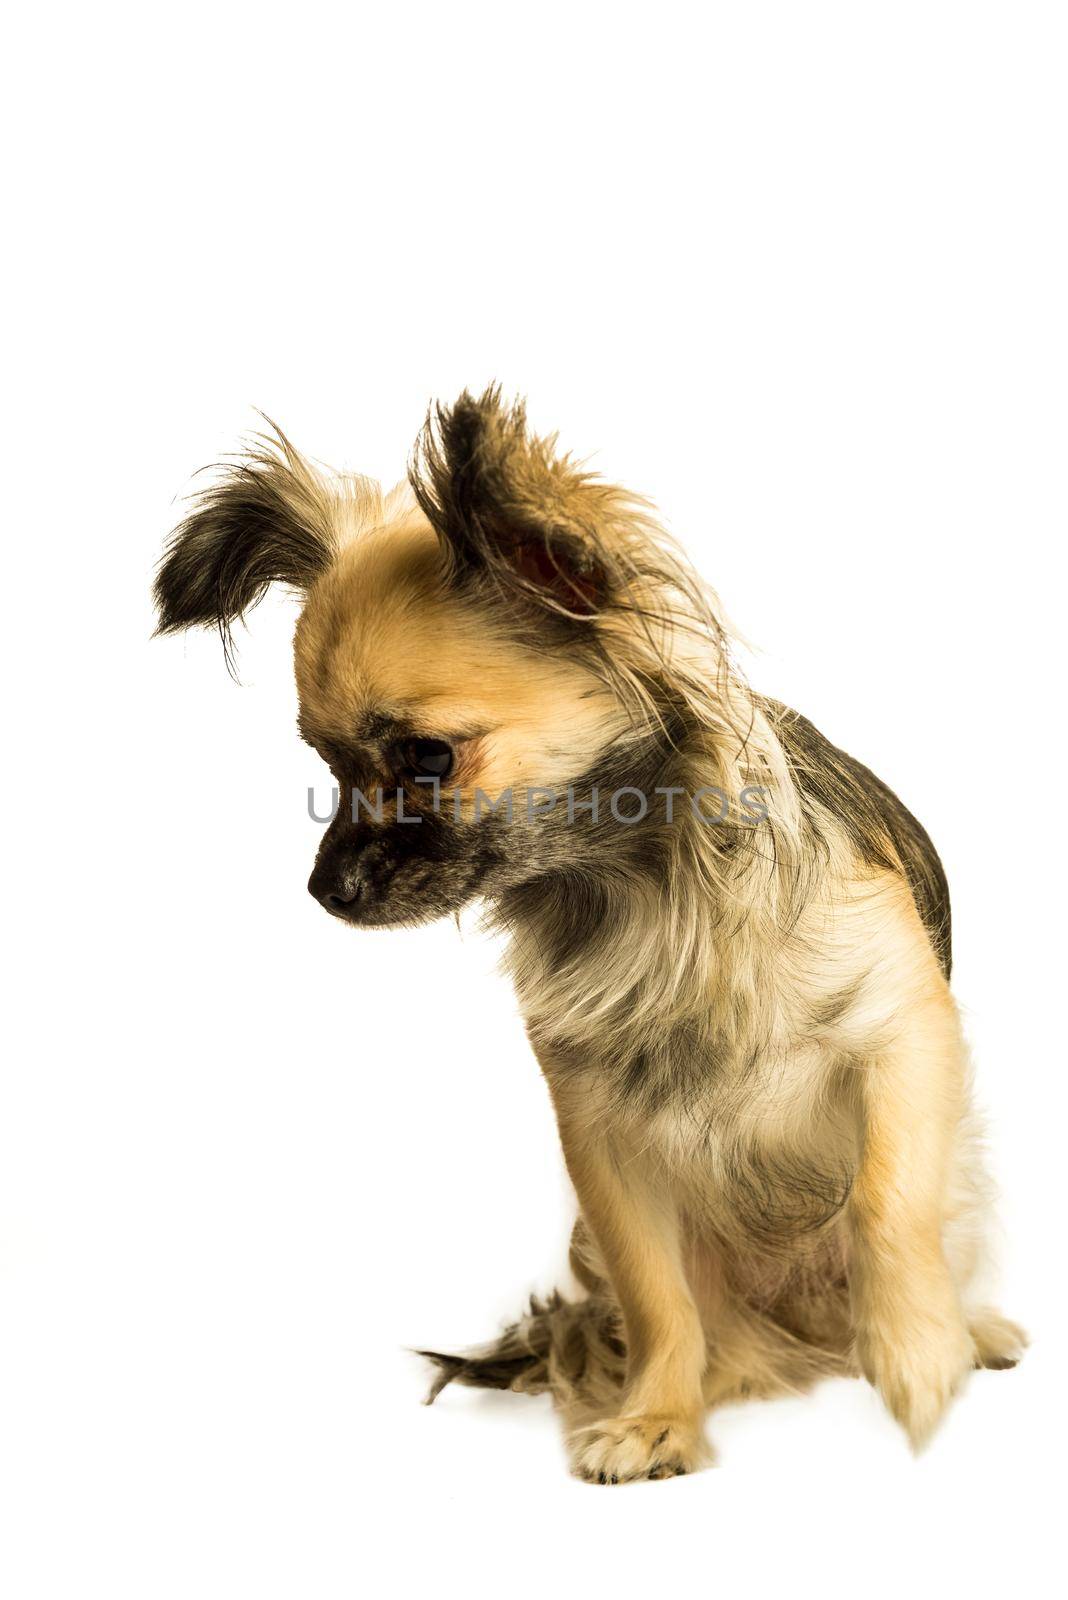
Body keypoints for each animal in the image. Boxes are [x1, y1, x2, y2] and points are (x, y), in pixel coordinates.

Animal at [154, 390, 1023, 1484]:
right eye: (328, 764)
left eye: (427, 757)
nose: (324, 889)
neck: (640, 889)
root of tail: (795, 1331)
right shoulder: (601, 1135)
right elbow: (656, 1296)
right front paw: (657, 1418)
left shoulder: (904, 1039)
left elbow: (886, 1202)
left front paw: (917, 1354)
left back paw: (964, 1328)